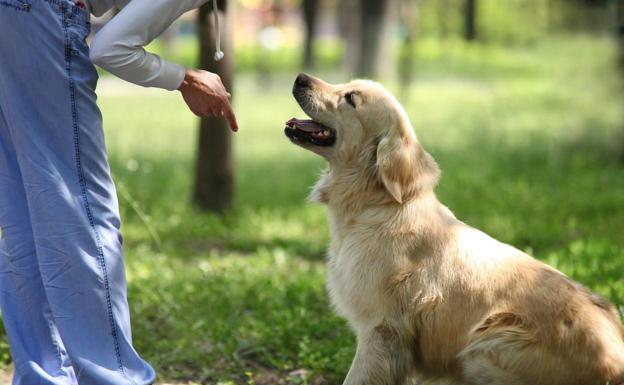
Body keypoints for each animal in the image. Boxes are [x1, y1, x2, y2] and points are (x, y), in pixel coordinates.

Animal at [286, 73, 624, 384]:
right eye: (346, 84)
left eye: (351, 99)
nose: (301, 77)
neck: (377, 204)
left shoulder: (381, 329)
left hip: (484, 346)